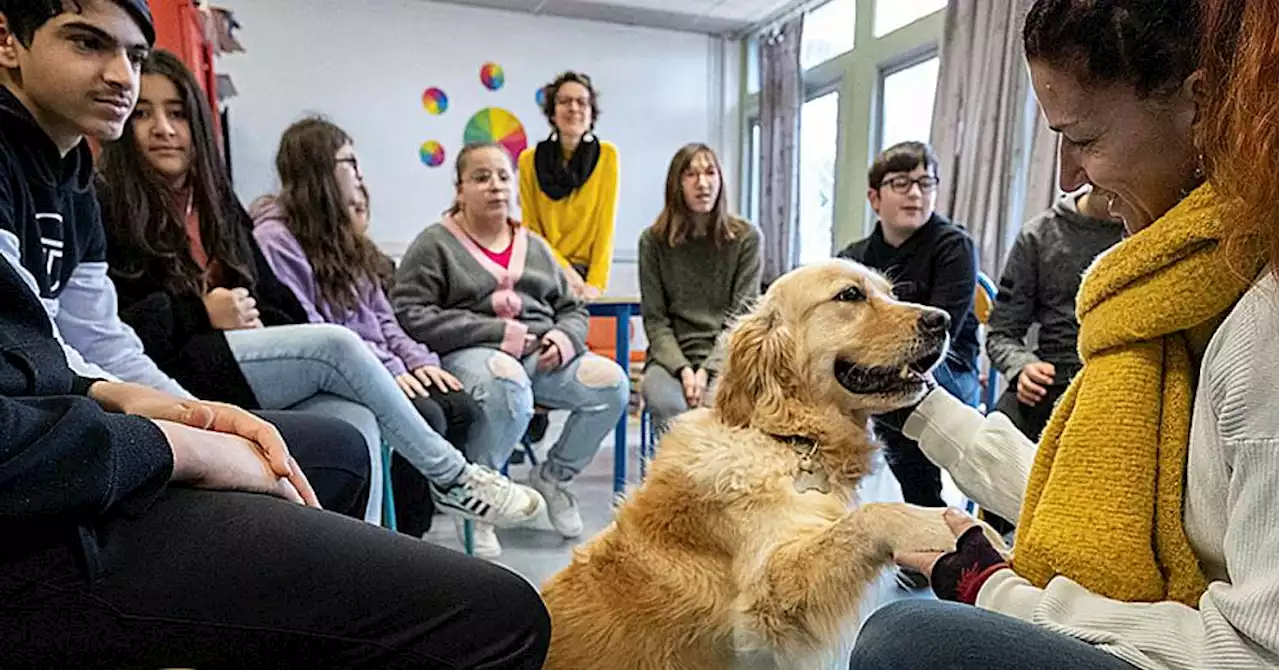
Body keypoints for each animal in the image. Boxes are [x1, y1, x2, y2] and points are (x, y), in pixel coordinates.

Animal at [540, 262, 988, 670]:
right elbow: (869, 516)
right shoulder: (766, 604)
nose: (943, 320)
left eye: (891, 293)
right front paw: (940, 526)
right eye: (850, 295)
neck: (791, 441)